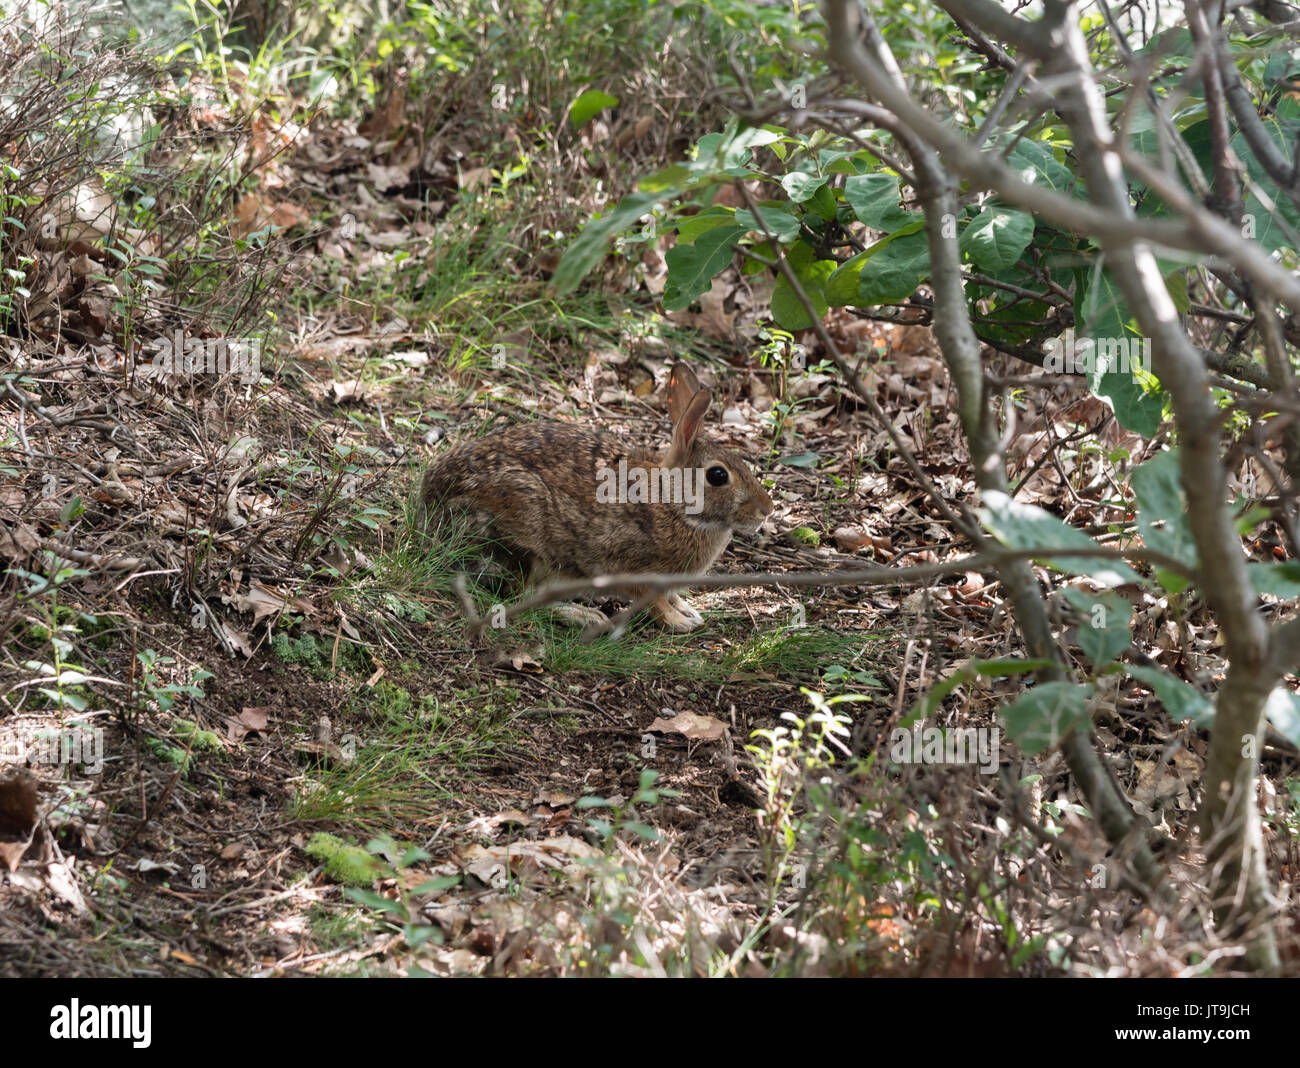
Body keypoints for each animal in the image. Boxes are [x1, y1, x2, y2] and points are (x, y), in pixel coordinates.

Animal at [420, 362, 773, 631]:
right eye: (718, 476)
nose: (767, 510)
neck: (673, 503)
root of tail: (430, 507)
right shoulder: (630, 567)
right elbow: (653, 602)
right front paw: (679, 622)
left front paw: (688, 610)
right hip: (527, 534)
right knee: (522, 597)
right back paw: (585, 616)